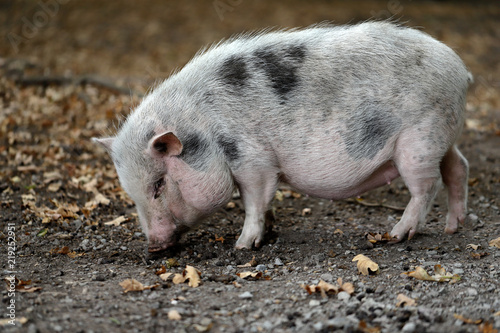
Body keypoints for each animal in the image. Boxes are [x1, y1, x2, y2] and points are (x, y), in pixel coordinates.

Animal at [92, 22, 470, 252]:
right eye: (130, 191)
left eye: (158, 184)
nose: (153, 245)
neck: (204, 127)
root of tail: (462, 71)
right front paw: (269, 232)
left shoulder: (254, 160)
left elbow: (254, 201)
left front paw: (243, 245)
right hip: (442, 136)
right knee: (458, 167)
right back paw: (453, 228)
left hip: (419, 140)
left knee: (427, 186)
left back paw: (396, 235)